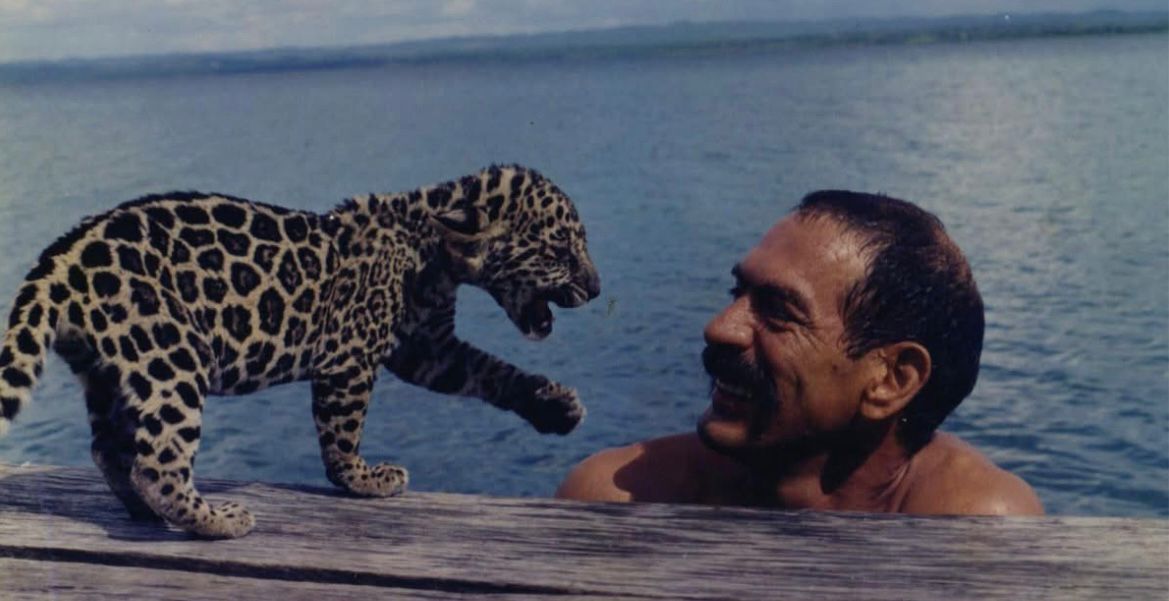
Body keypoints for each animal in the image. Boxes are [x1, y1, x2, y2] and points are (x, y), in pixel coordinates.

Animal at [0, 164, 600, 538]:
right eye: (560, 251)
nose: (595, 289)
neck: (434, 249)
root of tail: (60, 259)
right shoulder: (351, 356)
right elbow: (342, 432)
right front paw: (363, 480)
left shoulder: (428, 347)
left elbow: (492, 372)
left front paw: (555, 406)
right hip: (172, 356)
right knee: (158, 463)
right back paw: (217, 520)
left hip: (112, 369)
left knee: (108, 448)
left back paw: (141, 511)